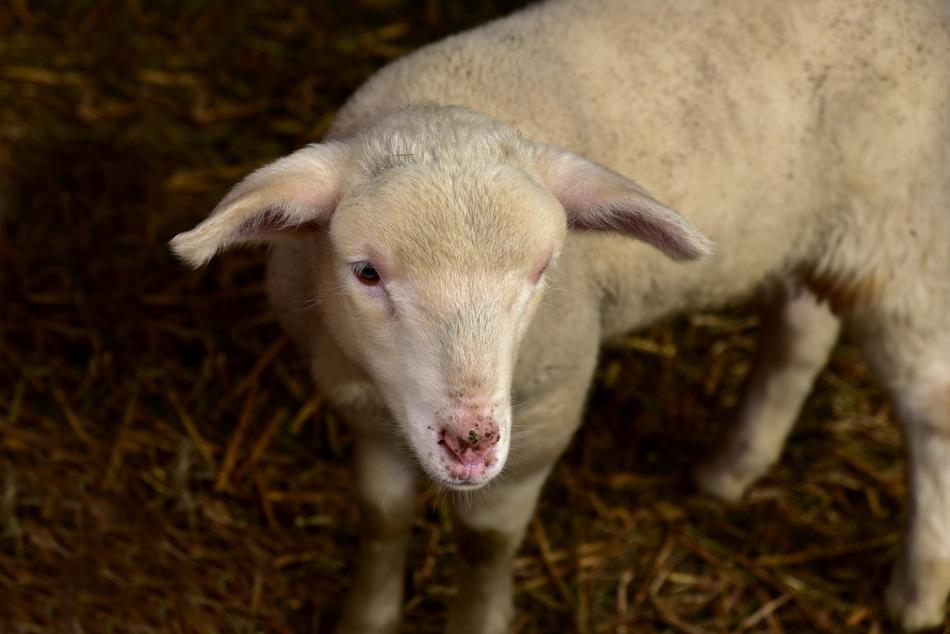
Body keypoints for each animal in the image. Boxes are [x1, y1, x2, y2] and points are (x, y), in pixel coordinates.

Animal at [170, 0, 950, 631]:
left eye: (543, 269)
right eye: (366, 272)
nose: (471, 442)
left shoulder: (545, 409)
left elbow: (486, 542)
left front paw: (478, 621)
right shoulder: (362, 408)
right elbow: (381, 518)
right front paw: (369, 617)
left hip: (902, 234)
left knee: (931, 408)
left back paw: (917, 592)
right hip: (815, 232)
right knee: (803, 327)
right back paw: (732, 467)